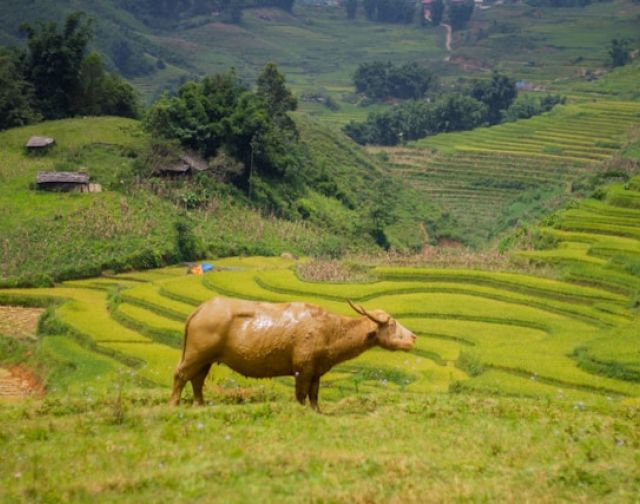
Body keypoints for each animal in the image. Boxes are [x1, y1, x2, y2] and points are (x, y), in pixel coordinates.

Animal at [170, 296, 418, 410]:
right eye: (392, 323)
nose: (414, 337)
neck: (329, 330)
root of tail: (200, 309)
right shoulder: (302, 369)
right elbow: (301, 395)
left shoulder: (316, 371)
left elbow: (314, 395)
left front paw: (316, 412)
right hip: (195, 355)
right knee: (181, 375)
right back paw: (174, 404)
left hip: (206, 359)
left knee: (197, 379)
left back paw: (199, 405)